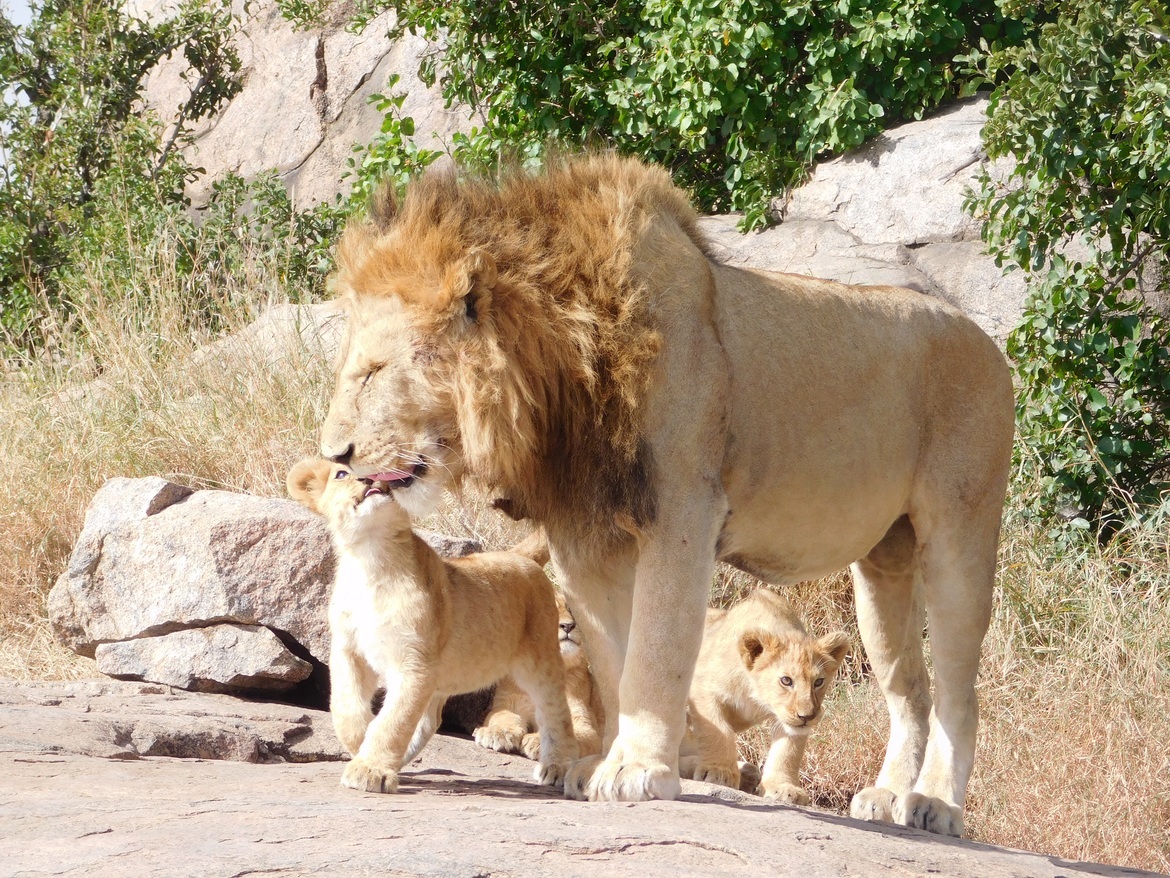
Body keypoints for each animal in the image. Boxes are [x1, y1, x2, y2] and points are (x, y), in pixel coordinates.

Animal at [286, 458, 579, 794]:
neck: (371, 557)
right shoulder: (349, 651)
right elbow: (346, 706)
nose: (368, 478)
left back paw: (557, 767)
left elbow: (394, 720)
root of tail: (515, 555)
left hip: (539, 657)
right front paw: (361, 746)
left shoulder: (414, 662)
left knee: (555, 710)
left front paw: (369, 769)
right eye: (341, 474)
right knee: (430, 719)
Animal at [679, 588, 850, 805]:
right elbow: (718, 732)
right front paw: (719, 772)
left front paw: (784, 788)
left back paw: (748, 772)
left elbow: (788, 751)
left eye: (818, 682)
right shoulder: (703, 689)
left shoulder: (788, 721)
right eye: (786, 680)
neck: (755, 696)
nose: (807, 716)